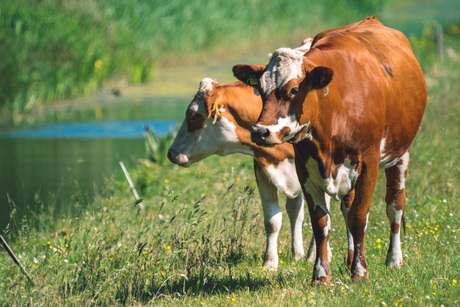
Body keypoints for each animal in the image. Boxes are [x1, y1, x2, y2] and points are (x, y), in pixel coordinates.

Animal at [234, 16, 428, 282]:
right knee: (347, 206)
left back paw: (393, 260)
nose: (260, 132)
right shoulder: (305, 168)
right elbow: (321, 221)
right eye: (261, 91)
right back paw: (348, 261)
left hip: (401, 153)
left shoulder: (369, 163)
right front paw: (321, 274)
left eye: (294, 90)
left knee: (395, 205)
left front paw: (360, 272)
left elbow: (359, 217)